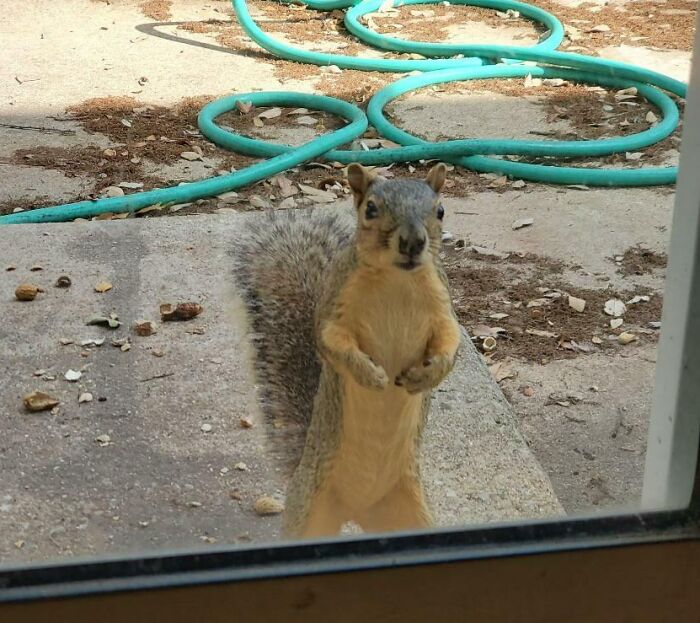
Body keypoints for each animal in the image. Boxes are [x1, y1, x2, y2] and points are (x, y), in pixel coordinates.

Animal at [230, 163, 462, 540]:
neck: (397, 280)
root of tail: (357, 509)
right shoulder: (337, 304)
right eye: (371, 208)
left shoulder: (442, 304)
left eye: (440, 210)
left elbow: (450, 340)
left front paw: (428, 374)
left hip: (408, 514)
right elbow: (332, 342)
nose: (413, 242)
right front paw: (371, 375)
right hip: (309, 511)